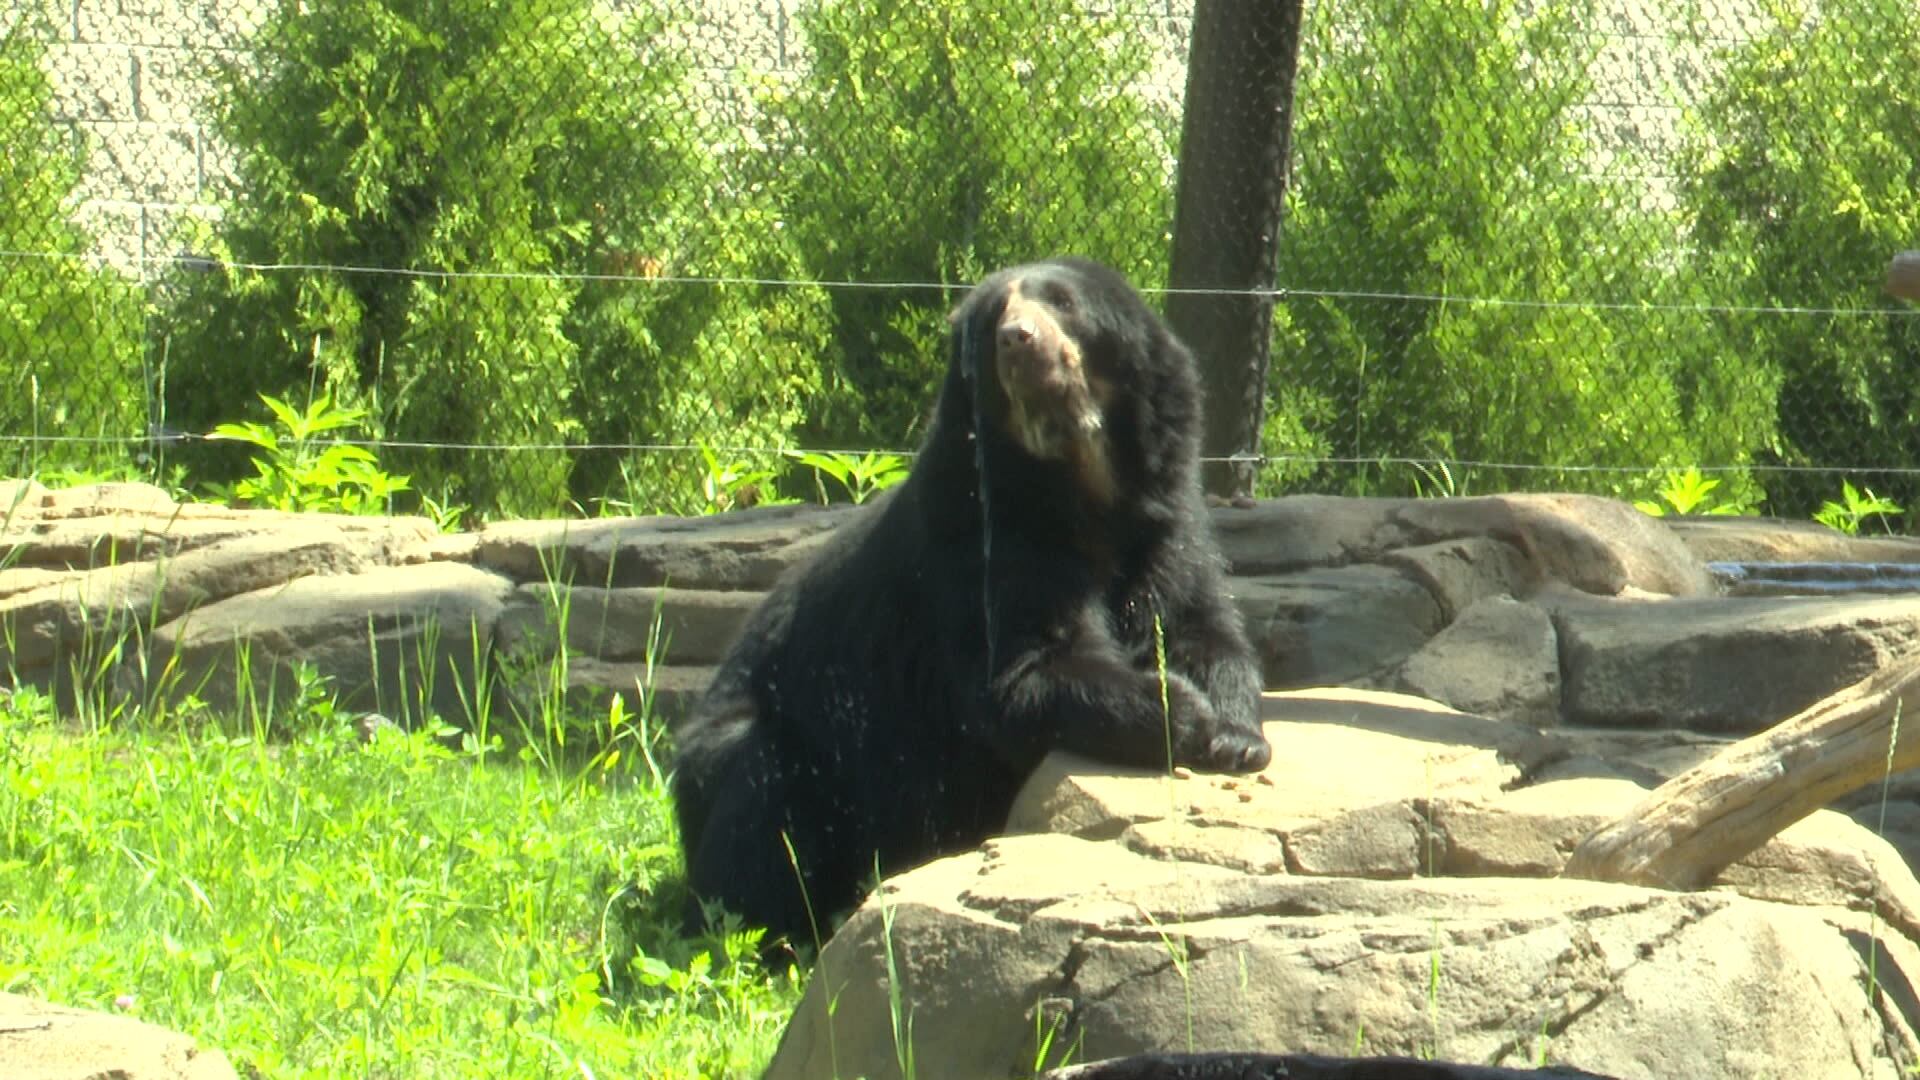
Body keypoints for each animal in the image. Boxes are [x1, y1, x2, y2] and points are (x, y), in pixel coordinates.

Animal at [670, 256, 1272, 947]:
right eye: (991, 320)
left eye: (1063, 302)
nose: (1018, 339)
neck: (1080, 484)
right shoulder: (985, 541)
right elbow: (1025, 672)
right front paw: (1185, 714)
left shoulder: (1166, 525)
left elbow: (1203, 627)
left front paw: (1236, 735)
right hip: (768, 755)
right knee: (759, 799)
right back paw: (774, 934)